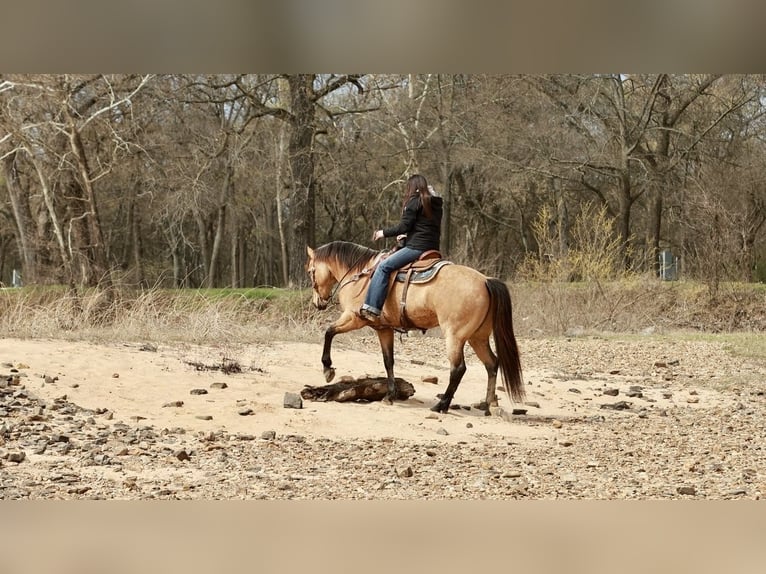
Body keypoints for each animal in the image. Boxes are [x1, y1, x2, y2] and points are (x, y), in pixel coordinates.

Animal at [305, 240, 524, 413]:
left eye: (310, 271)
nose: (318, 303)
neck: (361, 275)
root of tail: (486, 281)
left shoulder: (353, 318)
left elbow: (329, 332)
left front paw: (327, 369)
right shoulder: (384, 329)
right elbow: (388, 361)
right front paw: (390, 395)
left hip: (454, 337)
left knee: (458, 369)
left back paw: (441, 405)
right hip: (477, 338)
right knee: (492, 364)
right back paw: (487, 404)